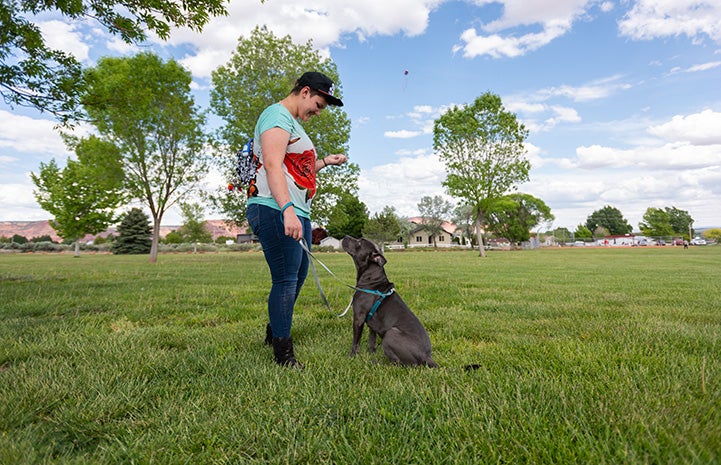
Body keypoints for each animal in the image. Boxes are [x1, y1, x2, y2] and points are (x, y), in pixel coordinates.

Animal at [340, 236, 436, 366]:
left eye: (359, 242)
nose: (345, 236)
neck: (371, 278)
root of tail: (426, 356)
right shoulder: (371, 324)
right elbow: (371, 341)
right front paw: (370, 354)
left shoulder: (358, 318)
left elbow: (355, 341)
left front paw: (351, 357)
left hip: (391, 333)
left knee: (397, 363)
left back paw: (377, 363)